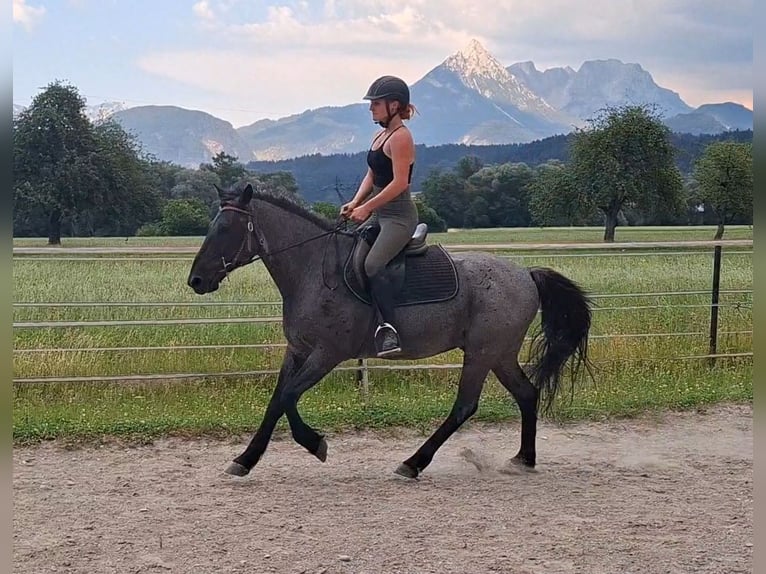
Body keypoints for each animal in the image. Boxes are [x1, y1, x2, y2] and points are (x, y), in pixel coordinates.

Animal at [187, 182, 592, 479]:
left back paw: (413, 464)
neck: (315, 270)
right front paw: (244, 460)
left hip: (482, 353)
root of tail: (526, 273)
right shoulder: (298, 350)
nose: (196, 281)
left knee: (465, 406)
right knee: (526, 393)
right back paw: (523, 459)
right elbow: (275, 402)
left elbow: (288, 397)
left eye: (225, 228)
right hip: (500, 354)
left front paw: (316, 444)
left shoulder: (327, 354)